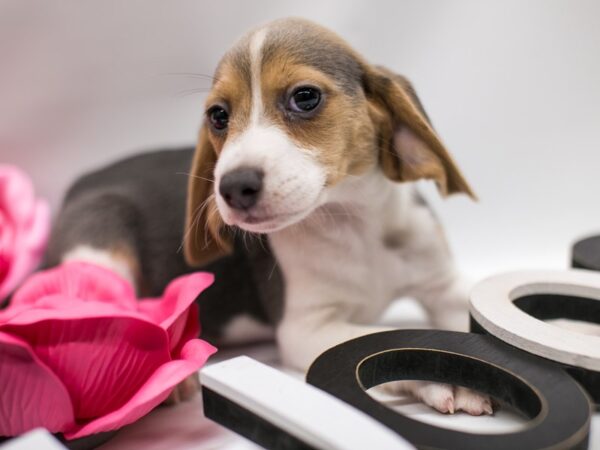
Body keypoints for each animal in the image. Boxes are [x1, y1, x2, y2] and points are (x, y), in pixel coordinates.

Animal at [47, 20, 492, 414]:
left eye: (305, 97)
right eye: (218, 116)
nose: (232, 187)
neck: (355, 222)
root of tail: (79, 183)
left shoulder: (444, 284)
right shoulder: (306, 328)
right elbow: (382, 337)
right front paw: (444, 373)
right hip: (100, 244)